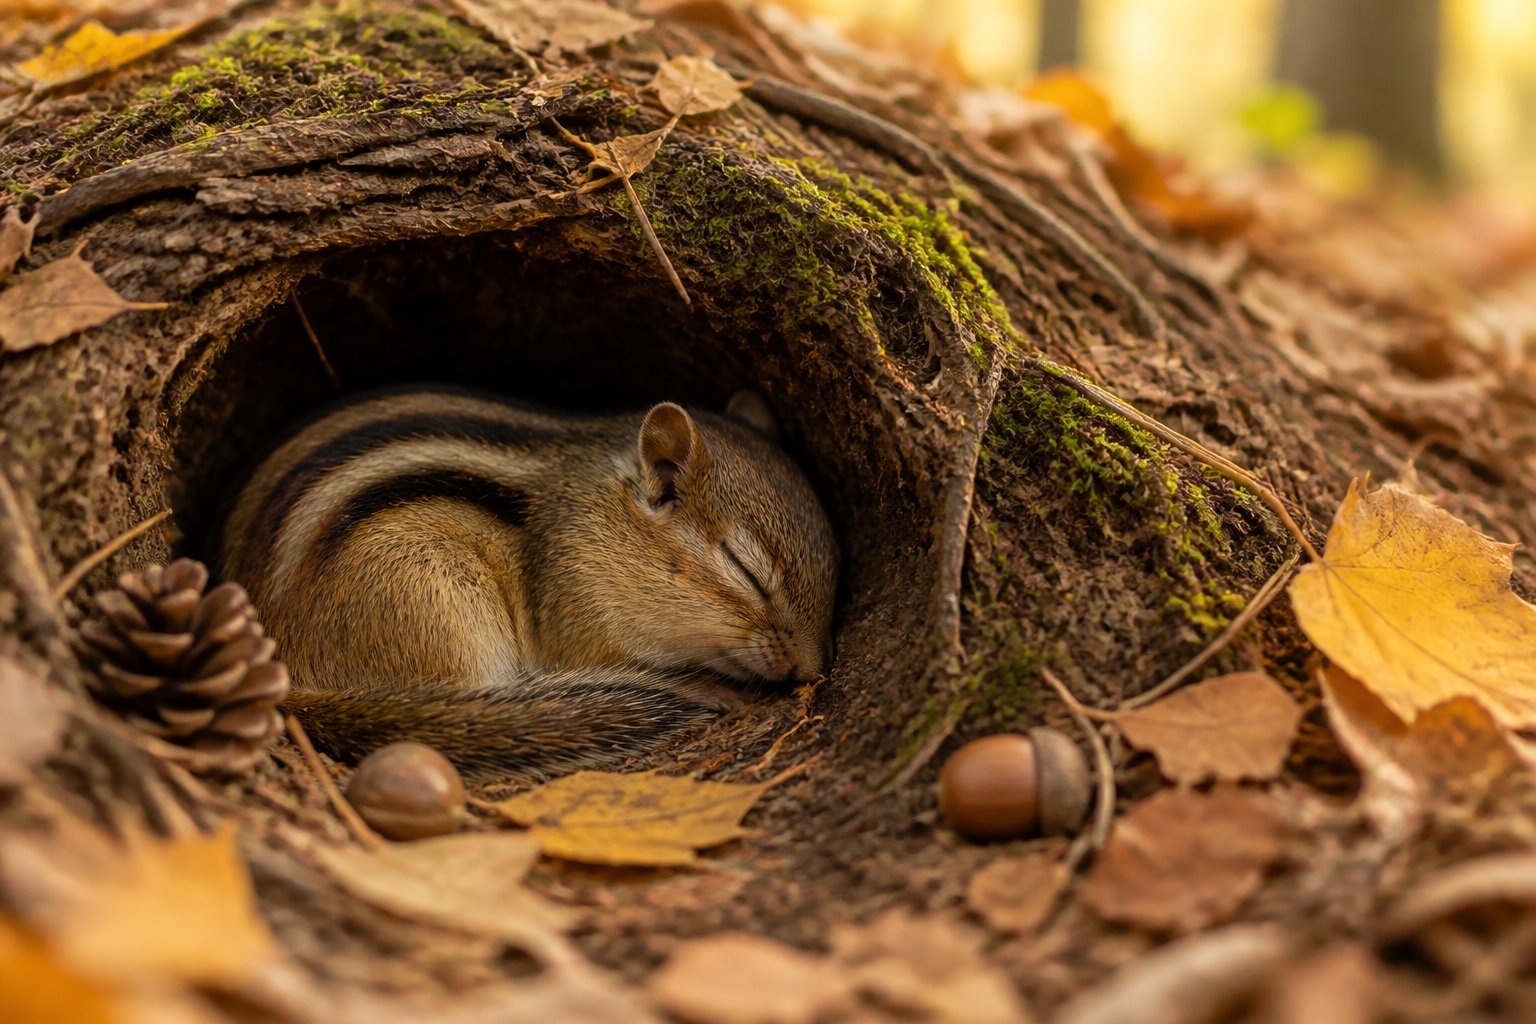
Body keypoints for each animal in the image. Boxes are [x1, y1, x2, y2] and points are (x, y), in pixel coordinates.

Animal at [217, 386, 838, 781]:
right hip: (435, 599)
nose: (810, 671)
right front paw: (708, 687)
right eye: (743, 568)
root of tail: (286, 680)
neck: (600, 511)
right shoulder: (578, 611)